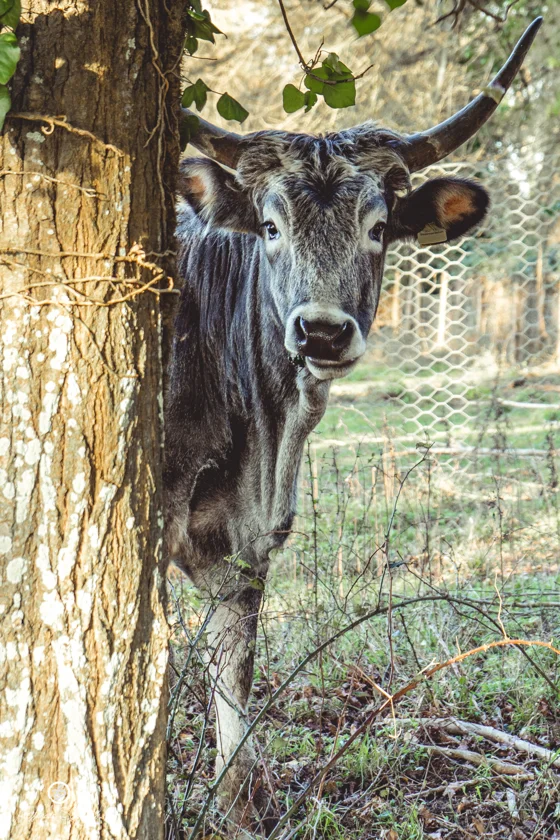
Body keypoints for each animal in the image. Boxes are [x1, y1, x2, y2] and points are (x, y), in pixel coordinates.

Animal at [165, 18, 541, 832]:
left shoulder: (244, 551)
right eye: (269, 225)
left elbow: (233, 689)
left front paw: (238, 806)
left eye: (378, 227)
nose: (323, 331)